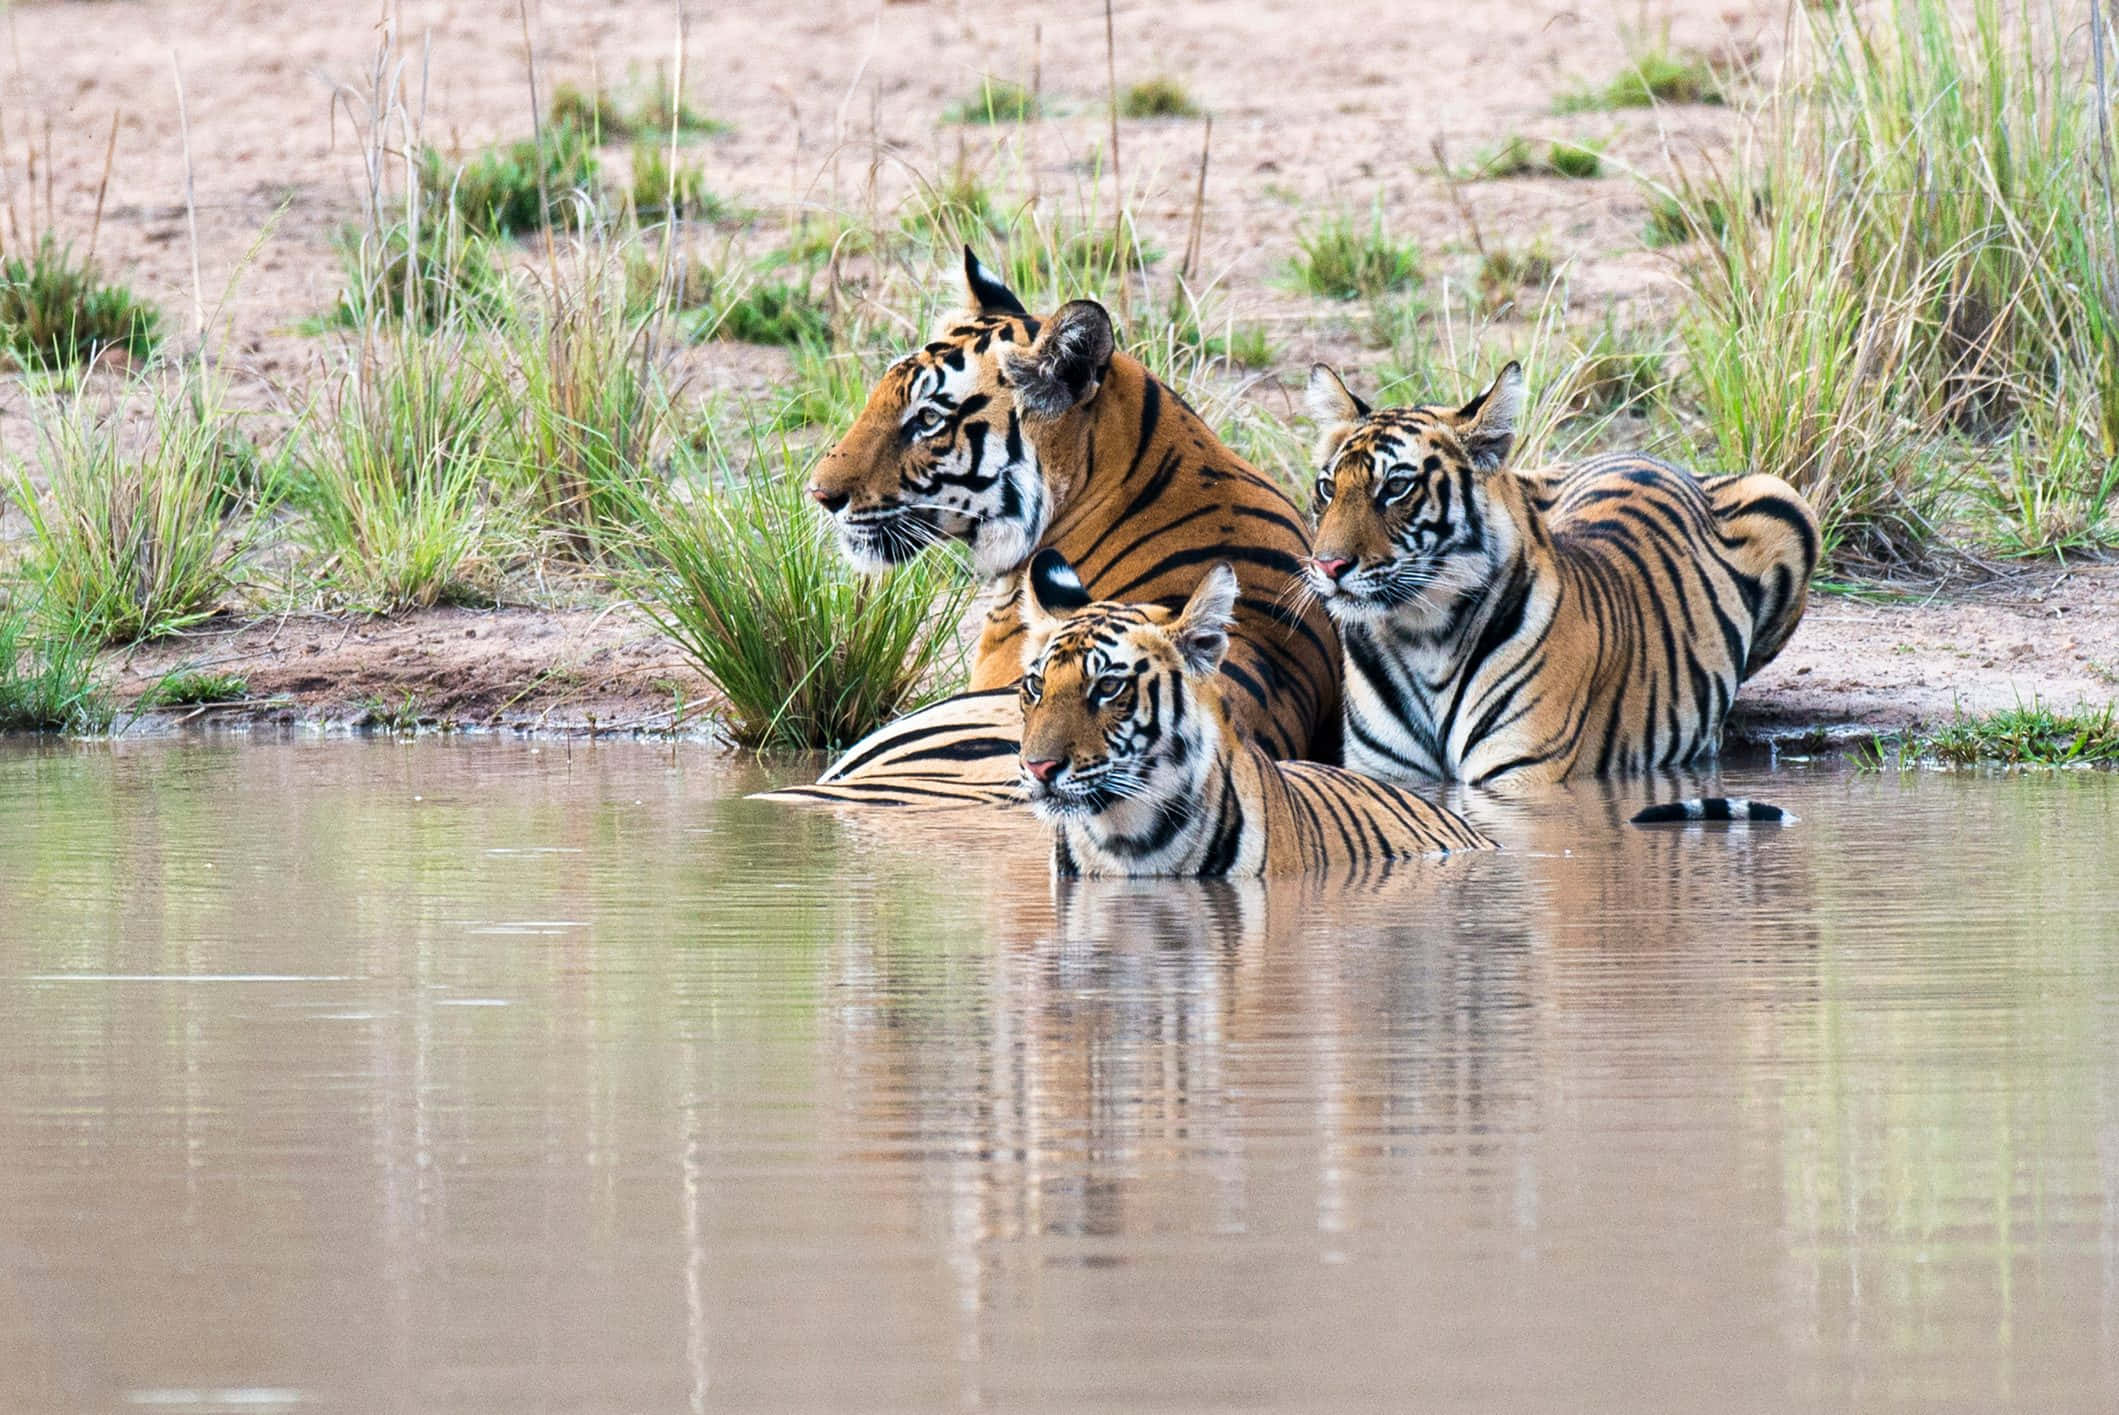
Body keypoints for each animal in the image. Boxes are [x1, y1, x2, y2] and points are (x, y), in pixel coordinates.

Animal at [1303, 361, 1820, 786]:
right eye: (1328, 488)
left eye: (1396, 487)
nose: (1327, 565)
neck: (1421, 636)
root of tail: (1645, 455)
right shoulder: (1385, 777)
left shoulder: (1520, 774)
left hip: (1787, 499)